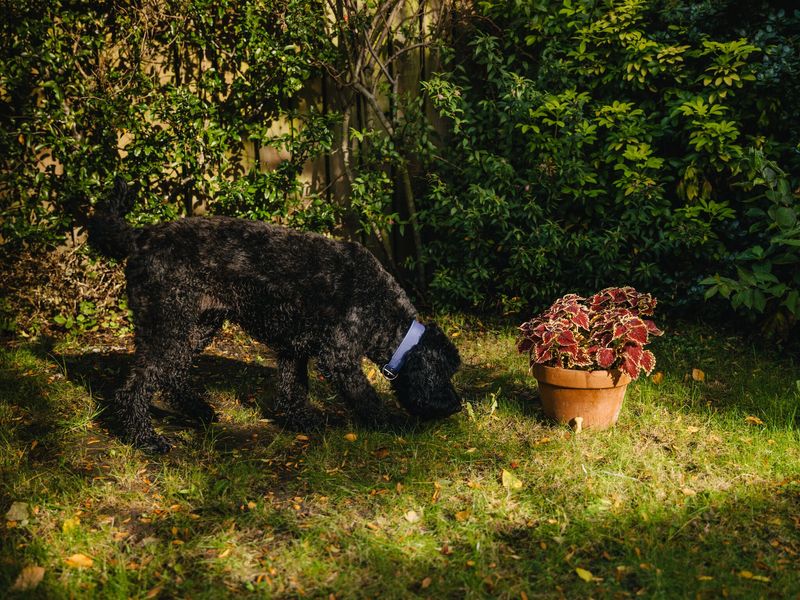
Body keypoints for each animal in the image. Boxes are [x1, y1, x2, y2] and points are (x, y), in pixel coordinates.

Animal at [86, 178, 462, 450]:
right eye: (444, 372)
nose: (456, 406)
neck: (383, 310)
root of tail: (140, 237)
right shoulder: (338, 356)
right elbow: (364, 395)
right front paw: (391, 424)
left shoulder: (294, 349)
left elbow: (292, 389)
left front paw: (304, 422)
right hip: (167, 325)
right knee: (136, 385)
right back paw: (145, 439)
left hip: (195, 327)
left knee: (173, 373)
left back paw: (200, 411)